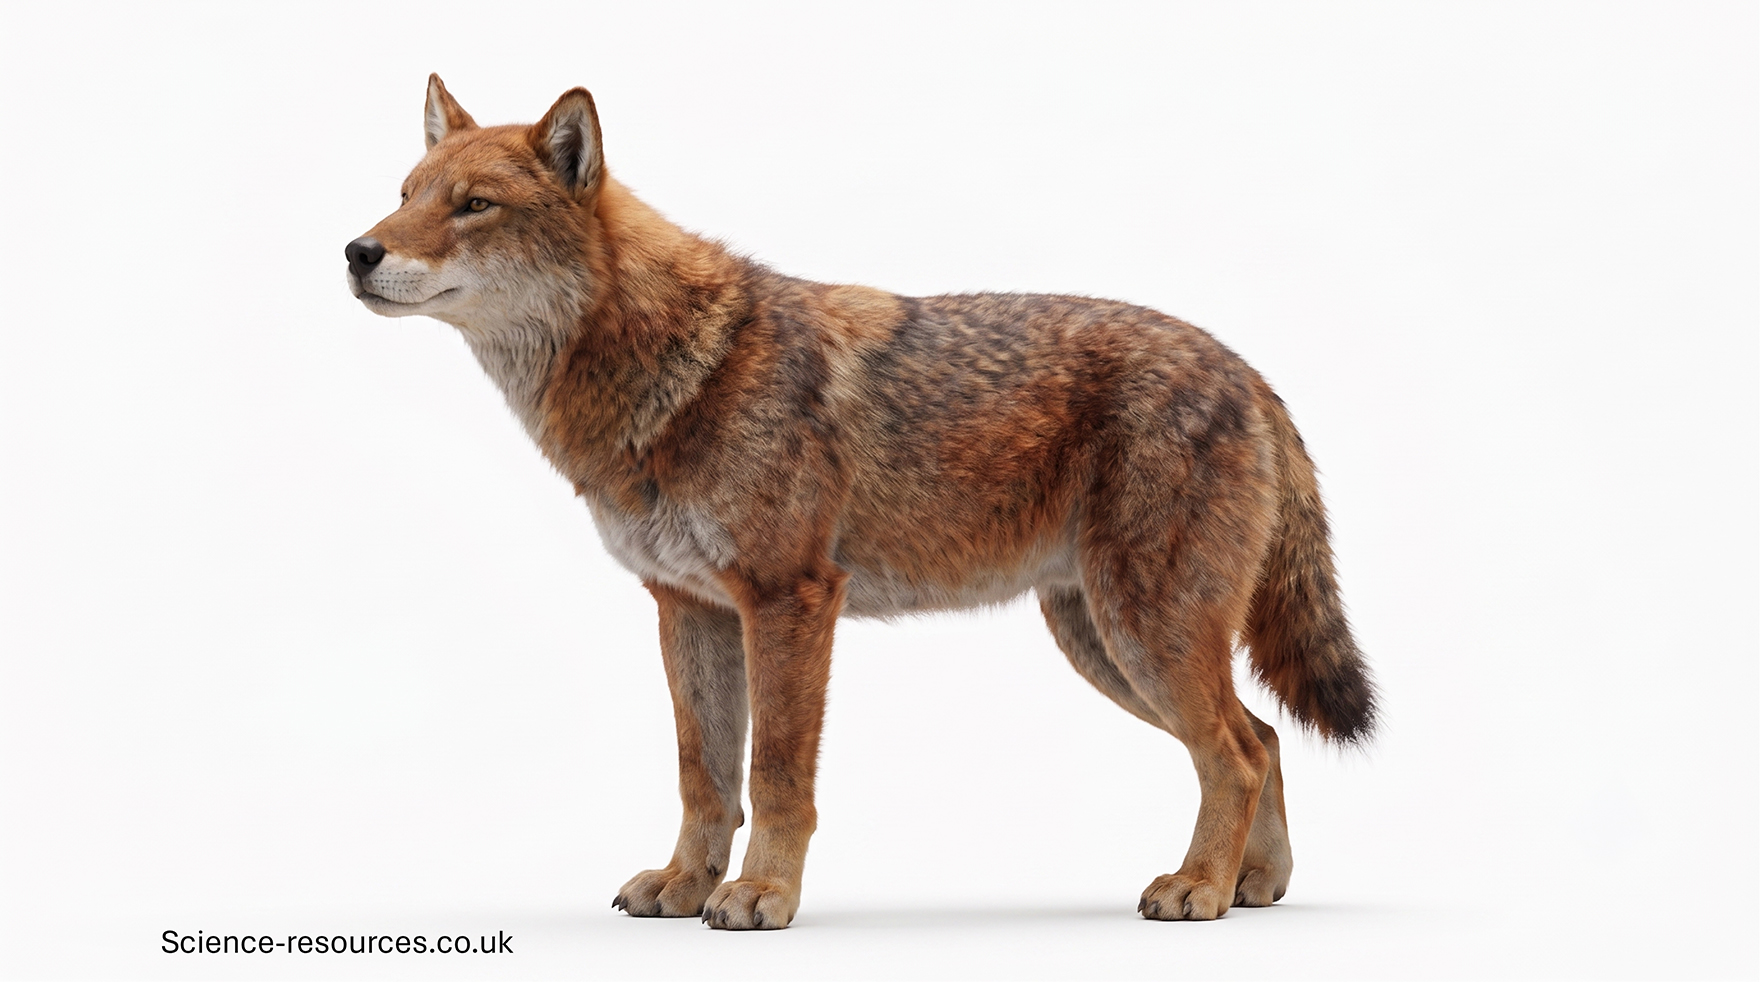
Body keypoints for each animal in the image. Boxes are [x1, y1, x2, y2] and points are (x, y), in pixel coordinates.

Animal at [345, 76, 1375, 930]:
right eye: (404, 192)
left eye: (473, 206)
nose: (357, 250)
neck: (671, 370)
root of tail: (1246, 369)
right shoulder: (688, 609)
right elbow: (703, 775)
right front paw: (684, 886)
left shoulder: (791, 600)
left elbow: (776, 775)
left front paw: (760, 894)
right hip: (1104, 645)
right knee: (1263, 738)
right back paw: (1251, 884)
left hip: (1141, 638)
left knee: (1236, 752)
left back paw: (1198, 886)